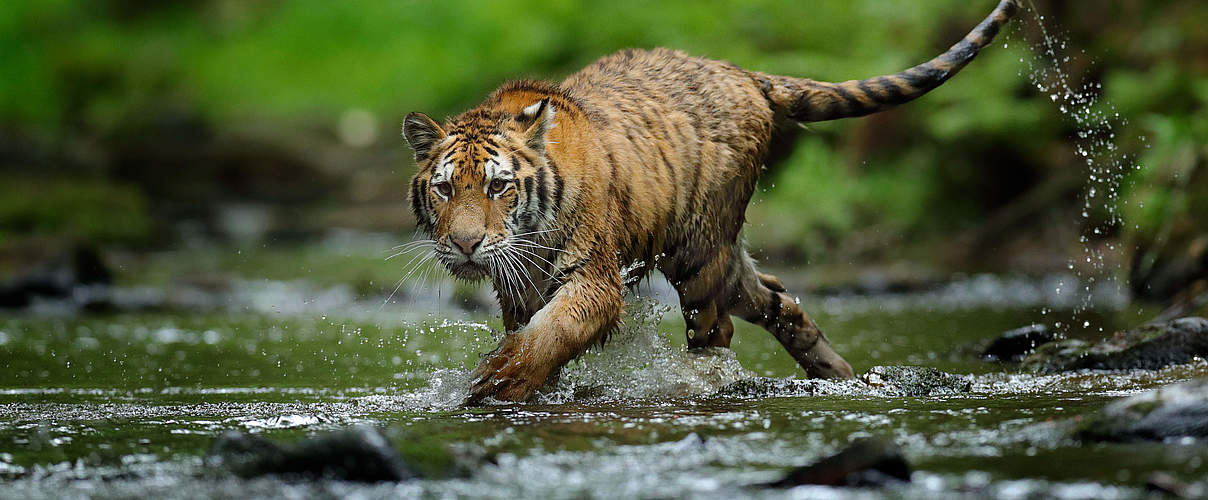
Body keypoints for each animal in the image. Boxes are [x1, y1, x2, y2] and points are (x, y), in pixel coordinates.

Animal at [405, 0, 1019, 400]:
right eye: (444, 188)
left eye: (497, 187)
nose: (465, 245)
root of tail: (739, 71)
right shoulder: (517, 290)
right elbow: (535, 333)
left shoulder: (595, 280)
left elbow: (553, 332)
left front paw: (502, 377)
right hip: (724, 263)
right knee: (777, 298)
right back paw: (839, 374)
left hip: (699, 255)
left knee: (716, 333)